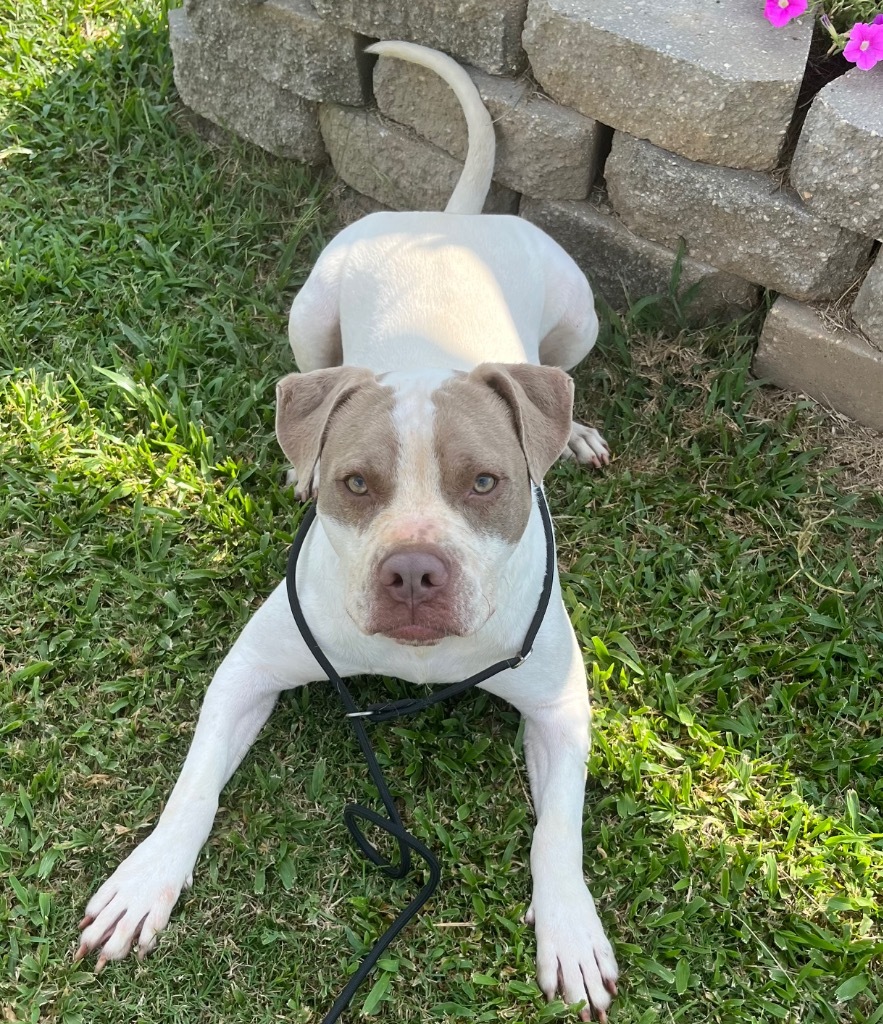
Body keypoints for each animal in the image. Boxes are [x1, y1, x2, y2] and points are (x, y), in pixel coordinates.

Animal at [75, 37, 618, 1015]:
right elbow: (193, 788)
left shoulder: (559, 706)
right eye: (355, 483)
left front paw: (570, 929)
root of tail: (451, 219)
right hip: (310, 315)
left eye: (485, 482)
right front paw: (146, 880)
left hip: (578, 316)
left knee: (560, 375)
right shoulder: (248, 670)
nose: (413, 573)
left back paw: (577, 431)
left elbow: (557, 830)